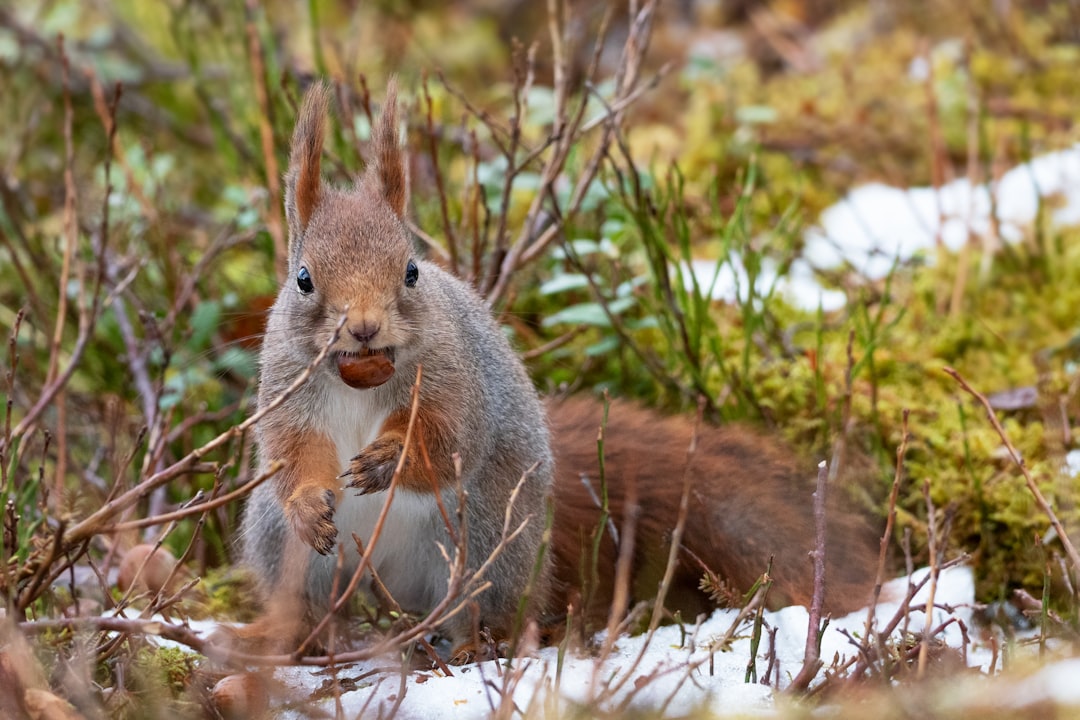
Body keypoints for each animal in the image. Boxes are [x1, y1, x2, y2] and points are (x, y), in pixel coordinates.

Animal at [234, 81, 876, 660]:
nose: (364, 328)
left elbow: (448, 442)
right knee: (306, 604)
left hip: (487, 541)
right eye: (303, 279)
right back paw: (280, 638)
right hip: (282, 547)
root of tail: (388, 582)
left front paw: (388, 459)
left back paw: (472, 644)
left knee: (492, 608)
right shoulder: (286, 389)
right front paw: (308, 502)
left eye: (412, 270)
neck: (361, 377)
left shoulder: (457, 380)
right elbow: (292, 454)